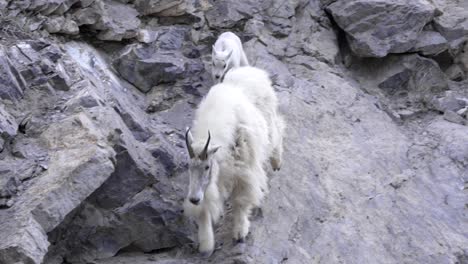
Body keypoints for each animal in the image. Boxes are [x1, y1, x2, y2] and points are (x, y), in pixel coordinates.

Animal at [184, 83, 270, 256]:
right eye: (189, 166)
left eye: (206, 166)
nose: (194, 199)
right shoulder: (215, 180)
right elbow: (205, 208)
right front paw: (206, 245)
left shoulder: (243, 170)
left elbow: (241, 200)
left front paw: (240, 233)